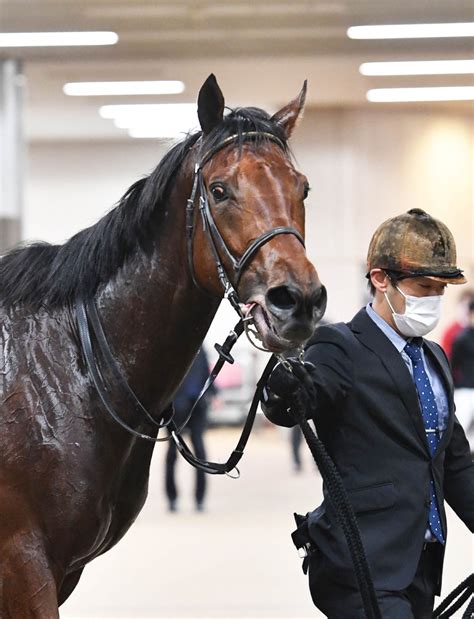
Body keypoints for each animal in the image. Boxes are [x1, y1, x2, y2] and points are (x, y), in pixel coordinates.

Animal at [0, 75, 326, 616]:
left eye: (302, 188)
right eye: (219, 190)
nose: (297, 300)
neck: (63, 370)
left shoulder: (62, 571)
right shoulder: (23, 562)